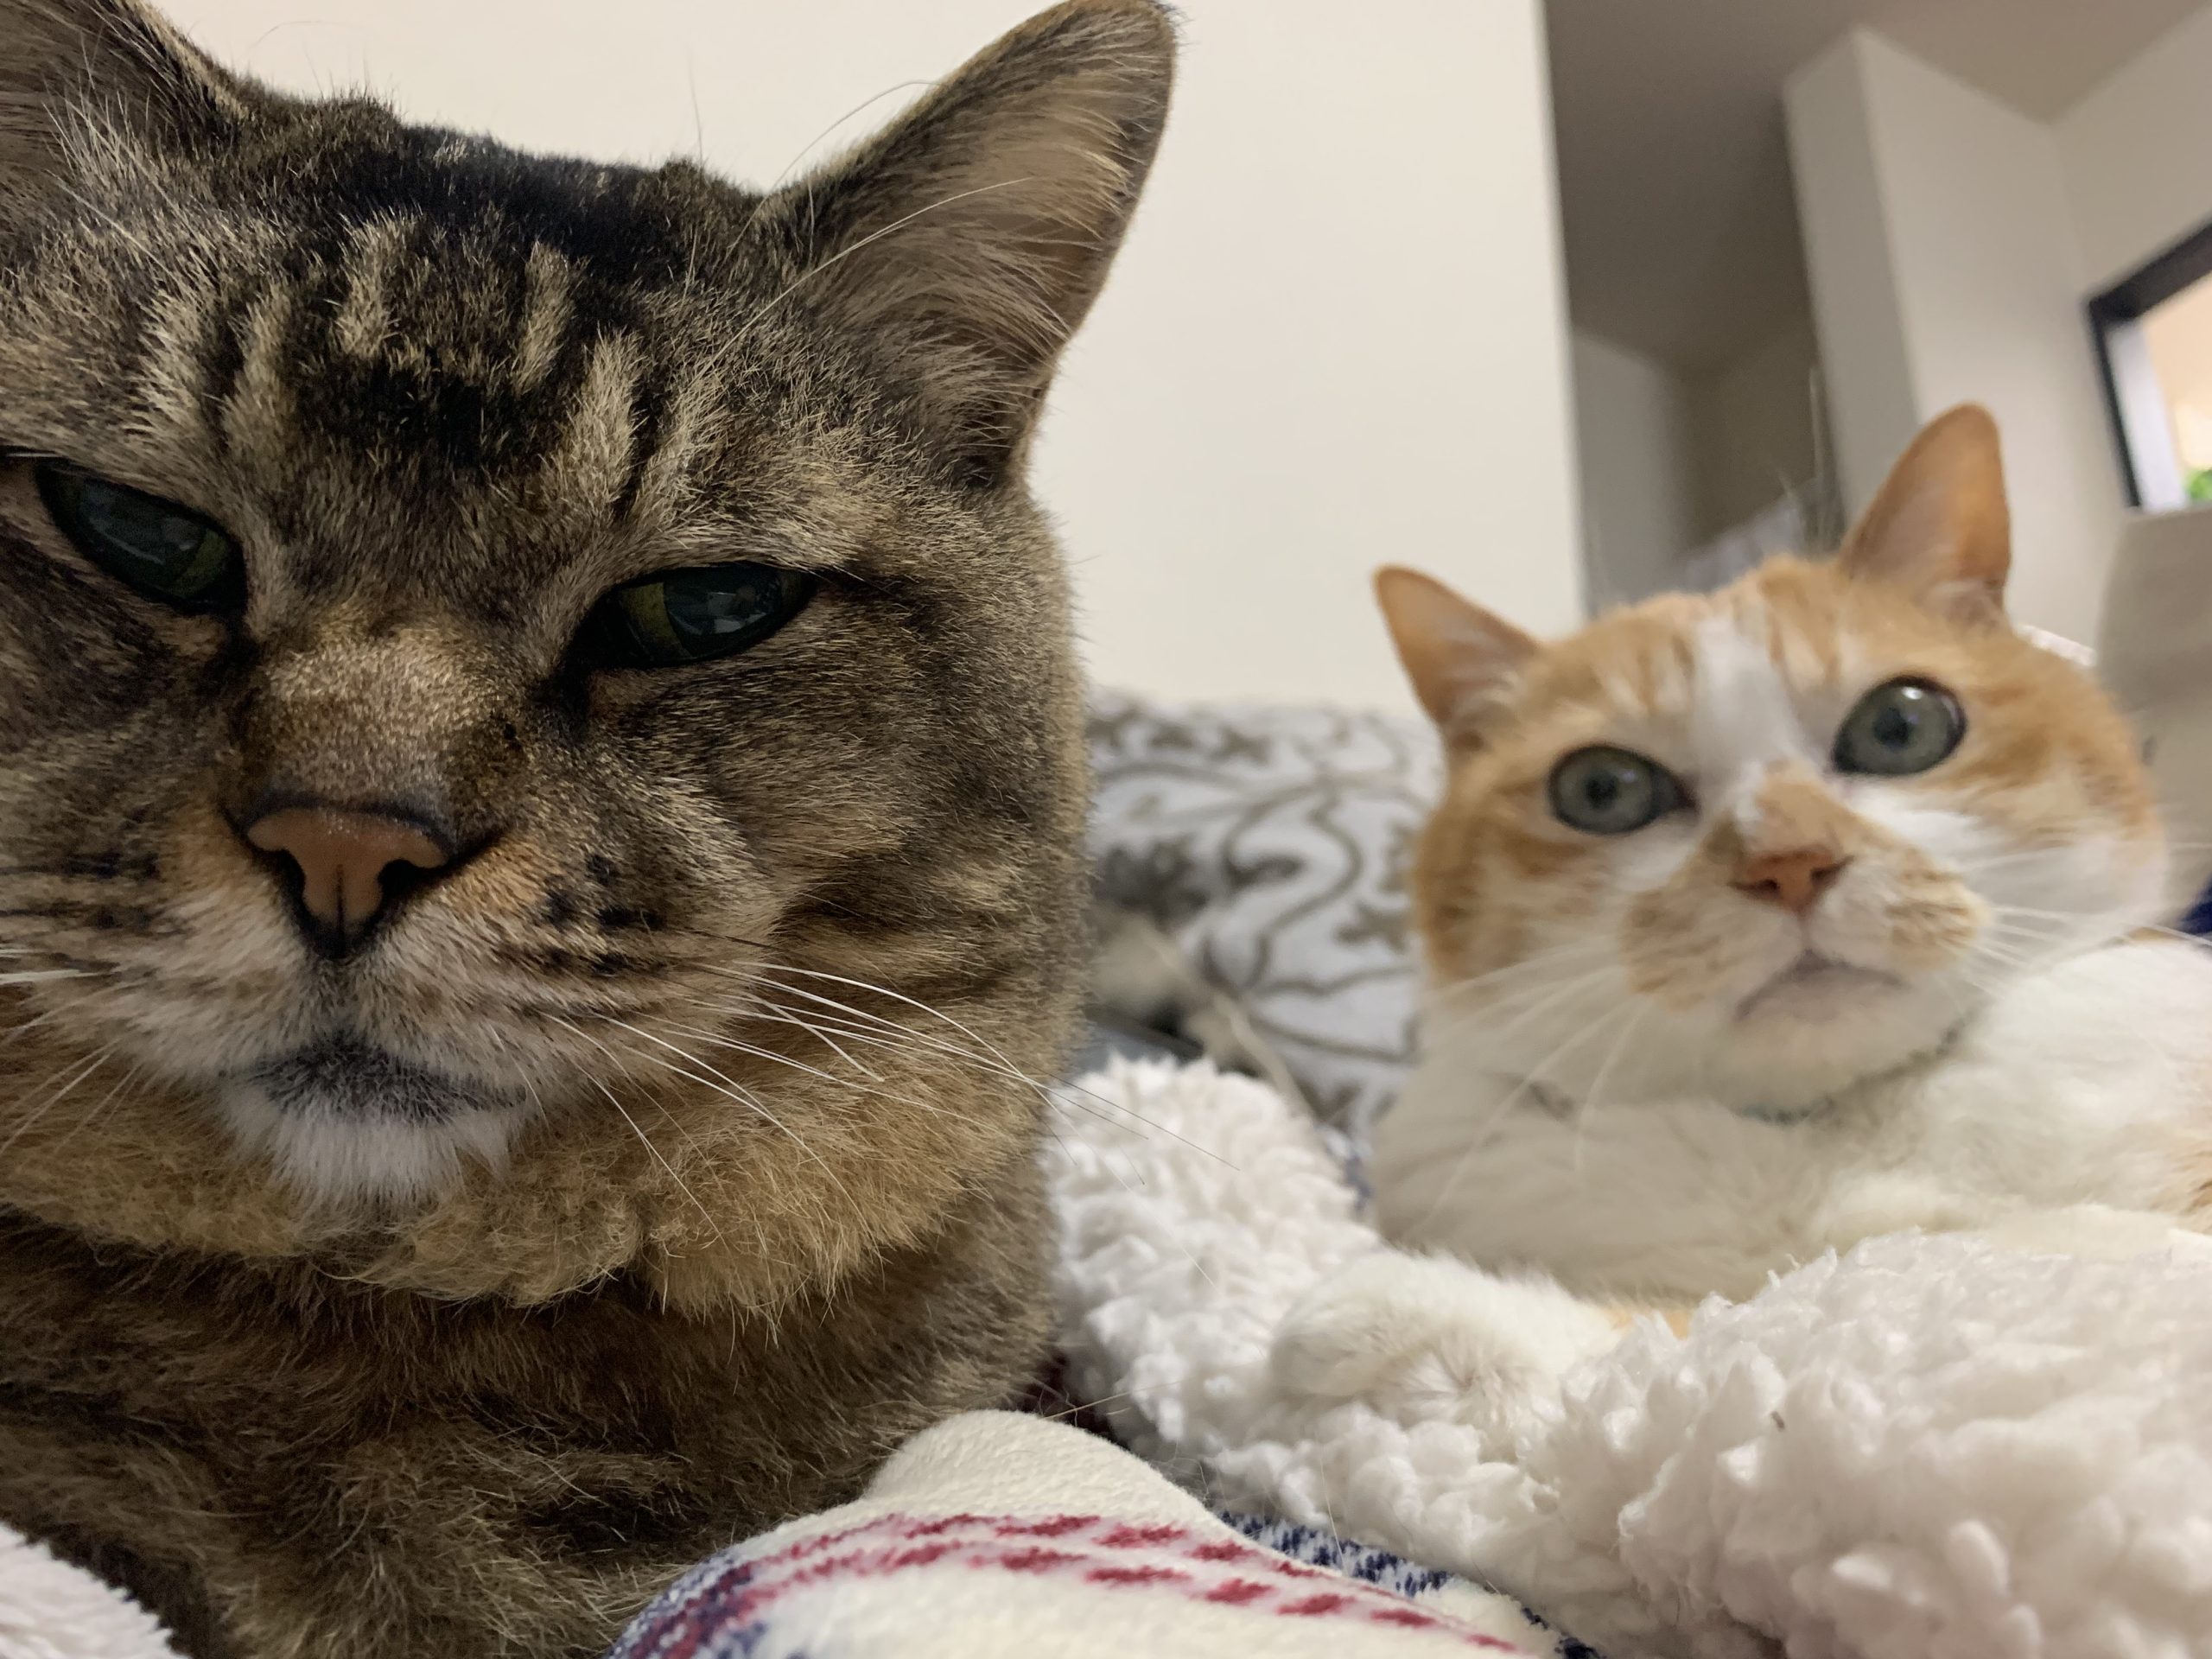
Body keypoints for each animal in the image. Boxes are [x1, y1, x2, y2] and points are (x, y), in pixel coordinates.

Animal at [1274, 406, 2212, 1445]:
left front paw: (1415, 1312)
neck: (1822, 1133)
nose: (1788, 859)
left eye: (1901, 726)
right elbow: (1748, 1316)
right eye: (1601, 789)